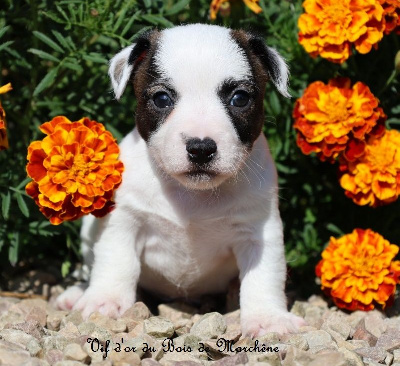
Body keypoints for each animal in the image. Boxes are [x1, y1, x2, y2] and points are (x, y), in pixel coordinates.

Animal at [56, 23, 306, 338]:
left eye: (239, 98)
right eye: (162, 99)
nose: (201, 147)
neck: (192, 195)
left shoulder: (258, 232)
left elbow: (263, 276)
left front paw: (269, 318)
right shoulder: (124, 221)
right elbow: (116, 261)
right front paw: (105, 301)